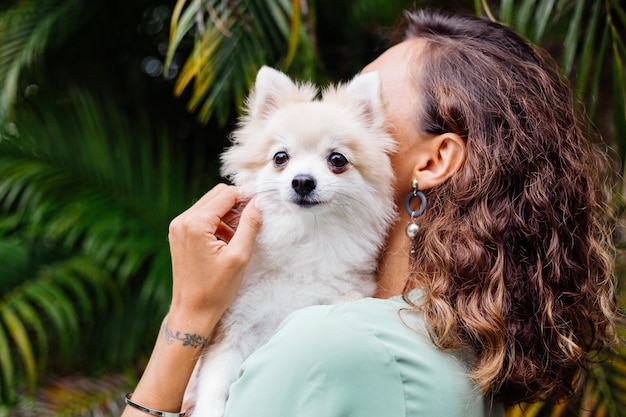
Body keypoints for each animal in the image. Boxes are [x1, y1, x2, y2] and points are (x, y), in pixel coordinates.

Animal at [188, 66, 398, 414]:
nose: (302, 181)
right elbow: (214, 387)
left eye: (337, 160)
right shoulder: (234, 328)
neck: (305, 236)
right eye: (280, 157)